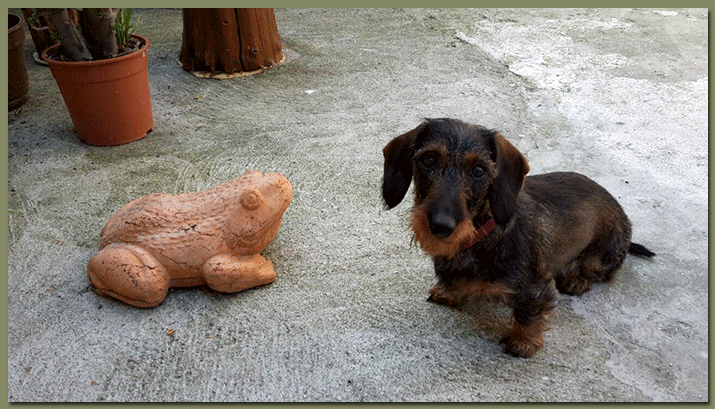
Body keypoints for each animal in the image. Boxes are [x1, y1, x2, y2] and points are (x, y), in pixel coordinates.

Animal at [382, 118, 654, 358]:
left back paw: (577, 280)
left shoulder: (535, 287)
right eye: (427, 160)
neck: (481, 234)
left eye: (479, 170)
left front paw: (523, 342)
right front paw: (447, 291)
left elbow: (529, 312)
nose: (441, 226)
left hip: (602, 256)